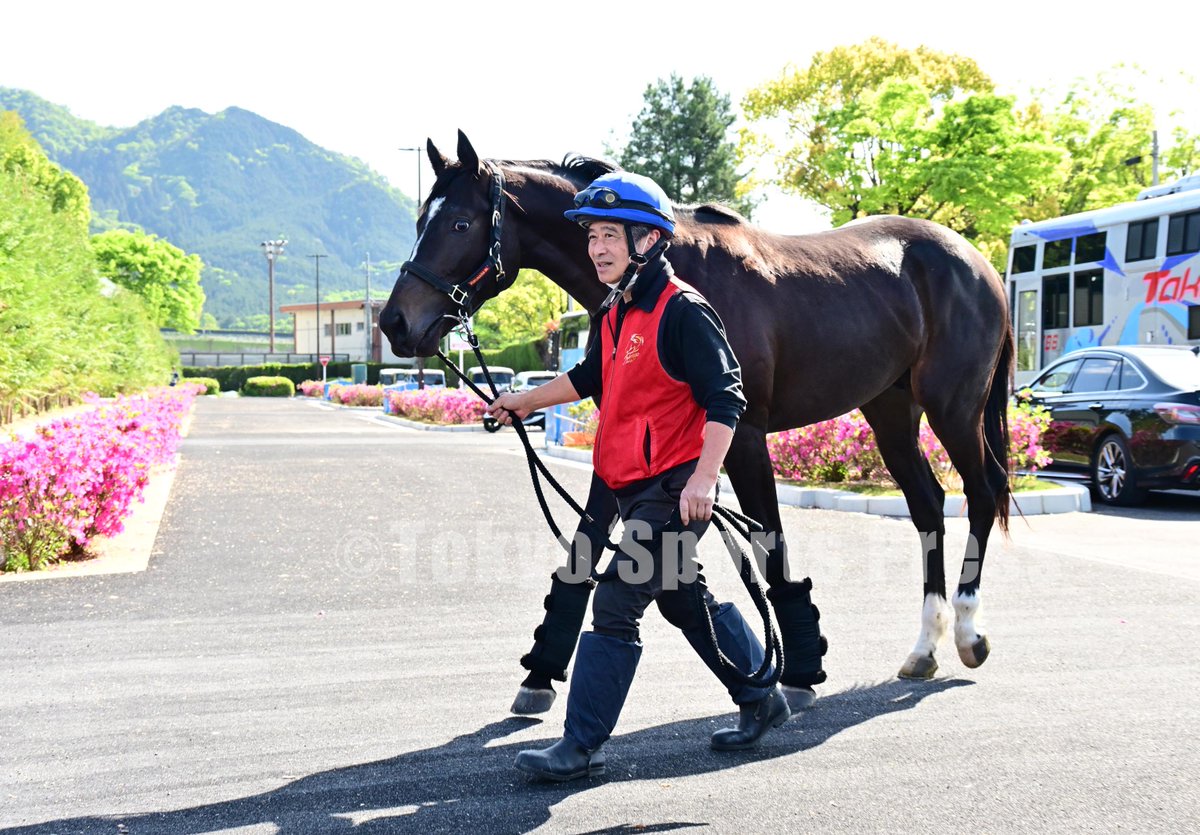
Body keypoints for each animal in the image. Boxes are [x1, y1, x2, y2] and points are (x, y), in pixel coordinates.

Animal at [380, 131, 1014, 707]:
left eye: (459, 224)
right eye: (420, 220)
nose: (395, 324)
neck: (665, 272)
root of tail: (975, 260)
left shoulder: (743, 438)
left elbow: (771, 547)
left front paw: (800, 671)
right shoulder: (623, 442)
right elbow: (583, 552)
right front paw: (539, 673)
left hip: (953, 406)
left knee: (980, 494)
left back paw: (967, 632)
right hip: (889, 409)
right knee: (928, 507)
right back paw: (924, 647)